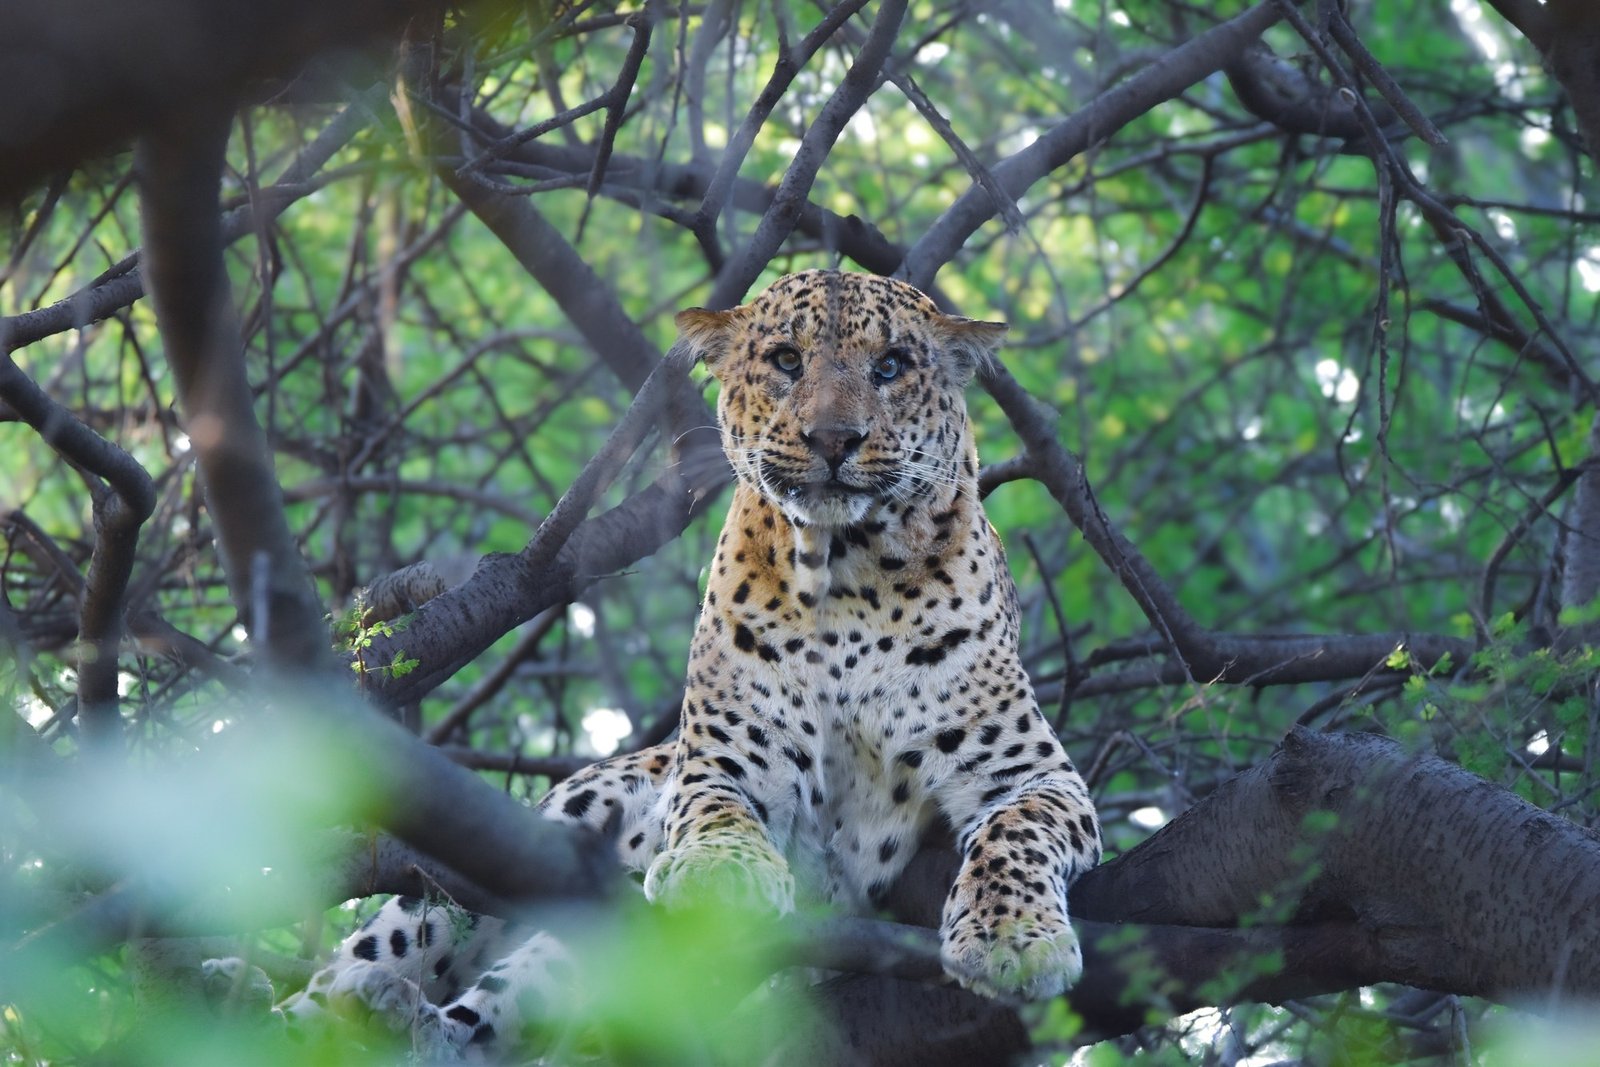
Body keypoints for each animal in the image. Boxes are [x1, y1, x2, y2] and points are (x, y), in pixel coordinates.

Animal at [219, 269, 1101, 1059]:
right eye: (786, 359)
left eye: (890, 367)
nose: (832, 440)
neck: (846, 574)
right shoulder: (725, 762)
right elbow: (715, 812)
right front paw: (719, 873)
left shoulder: (1031, 773)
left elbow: (1015, 838)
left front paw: (1015, 940)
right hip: (513, 847)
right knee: (349, 972)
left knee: (495, 1013)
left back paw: (403, 1020)